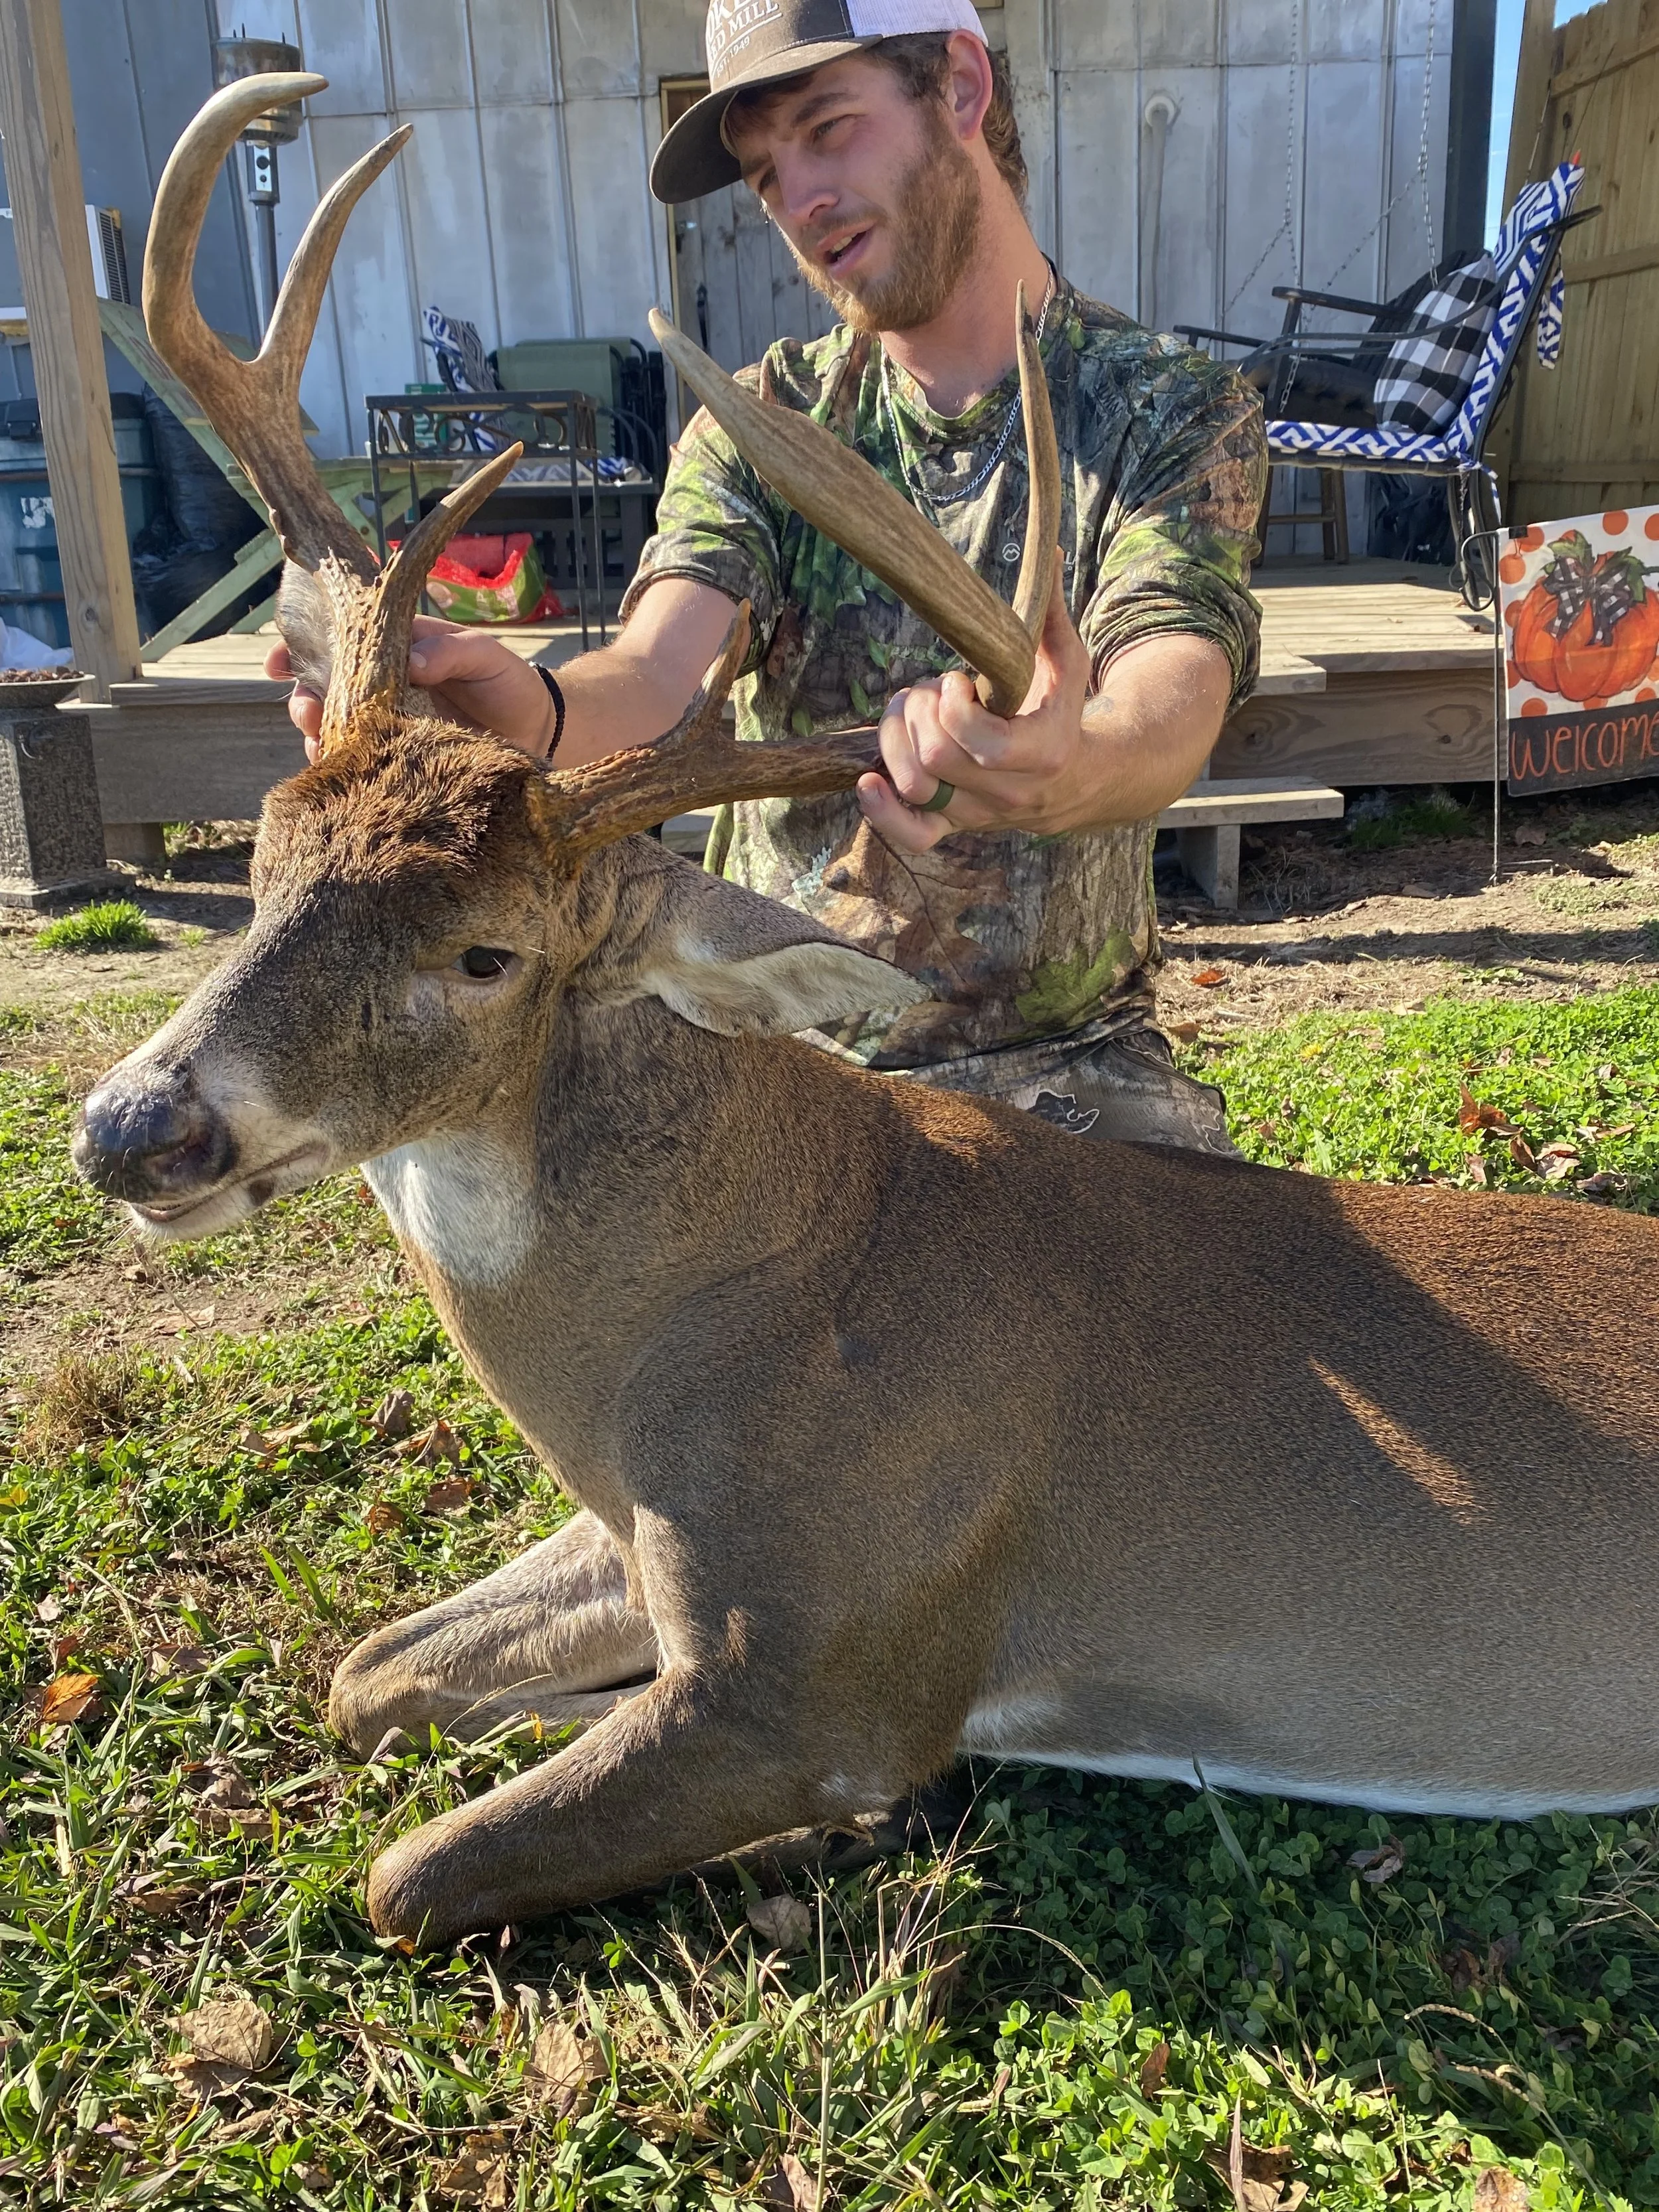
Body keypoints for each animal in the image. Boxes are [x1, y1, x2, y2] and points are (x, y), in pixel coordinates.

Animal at [73, 74, 1659, 1952]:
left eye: (485, 956)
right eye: (258, 861)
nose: (134, 1128)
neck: (676, 1334)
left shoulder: (831, 1667)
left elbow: (409, 1869)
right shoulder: (648, 1545)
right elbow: (366, 1668)